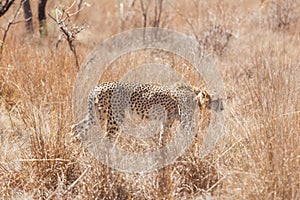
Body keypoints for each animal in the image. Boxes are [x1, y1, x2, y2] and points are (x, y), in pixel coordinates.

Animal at [72, 81, 223, 142]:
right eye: (218, 100)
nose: (223, 108)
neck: (195, 94)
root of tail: (99, 86)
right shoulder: (184, 123)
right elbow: (193, 136)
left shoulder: (166, 121)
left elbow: (163, 138)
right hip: (114, 118)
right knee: (106, 138)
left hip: (97, 115)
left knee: (75, 127)